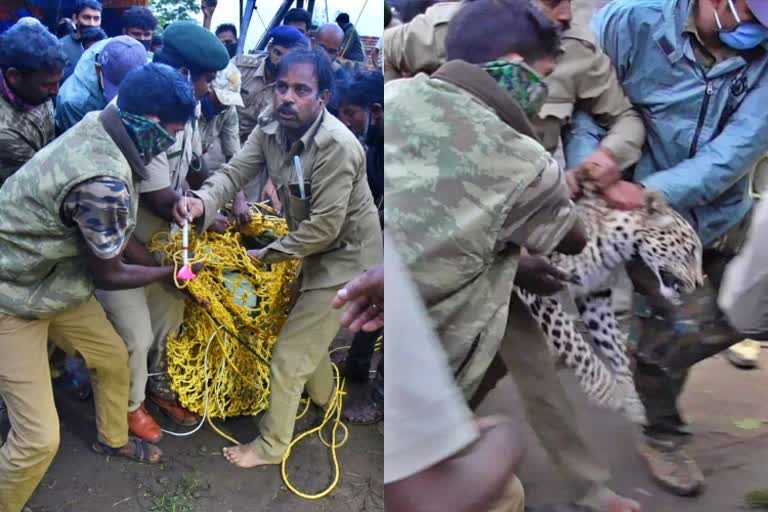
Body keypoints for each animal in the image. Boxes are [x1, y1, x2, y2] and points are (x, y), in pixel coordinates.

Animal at [512, 192, 704, 424]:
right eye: (691, 250)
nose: (699, 284)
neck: (616, 247)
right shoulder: (539, 287)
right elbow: (574, 343)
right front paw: (604, 391)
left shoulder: (595, 298)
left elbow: (615, 349)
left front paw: (631, 401)